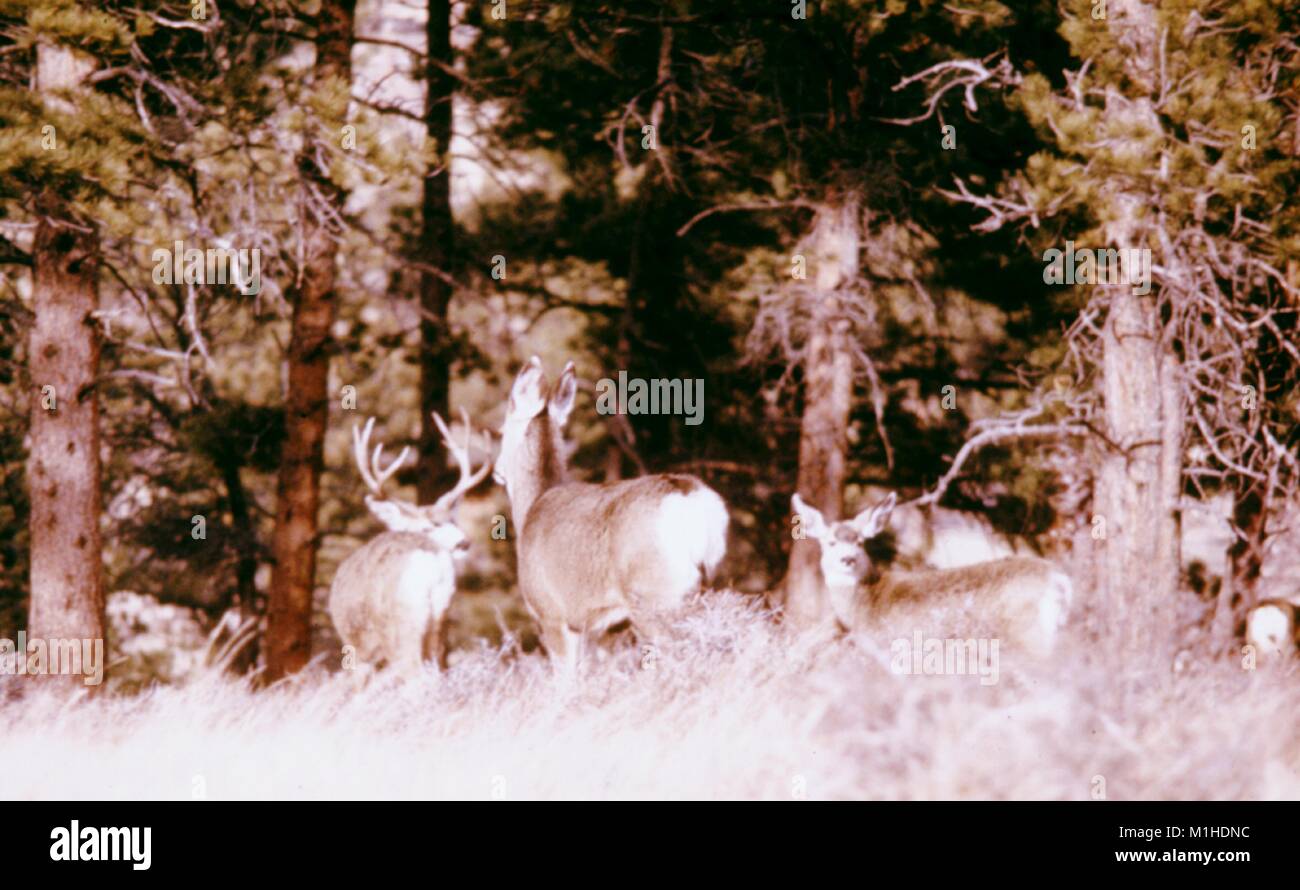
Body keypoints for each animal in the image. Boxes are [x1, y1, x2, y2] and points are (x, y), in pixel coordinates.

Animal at [329, 410, 491, 679]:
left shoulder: (357, 649)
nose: (464, 543)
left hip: (403, 623)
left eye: (451, 520)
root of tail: (432, 560)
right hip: (439, 618)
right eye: (429, 526)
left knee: (414, 674)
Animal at [494, 357, 729, 673]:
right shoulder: (593, 627)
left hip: (654, 596)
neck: (532, 505)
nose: (497, 471)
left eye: (501, 431)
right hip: (713, 582)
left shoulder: (551, 614)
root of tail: (691, 500)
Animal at [791, 492, 1072, 657]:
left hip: (1029, 633)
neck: (865, 605)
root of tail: (1058, 579)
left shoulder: (890, 646)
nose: (847, 559)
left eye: (860, 542)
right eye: (830, 543)